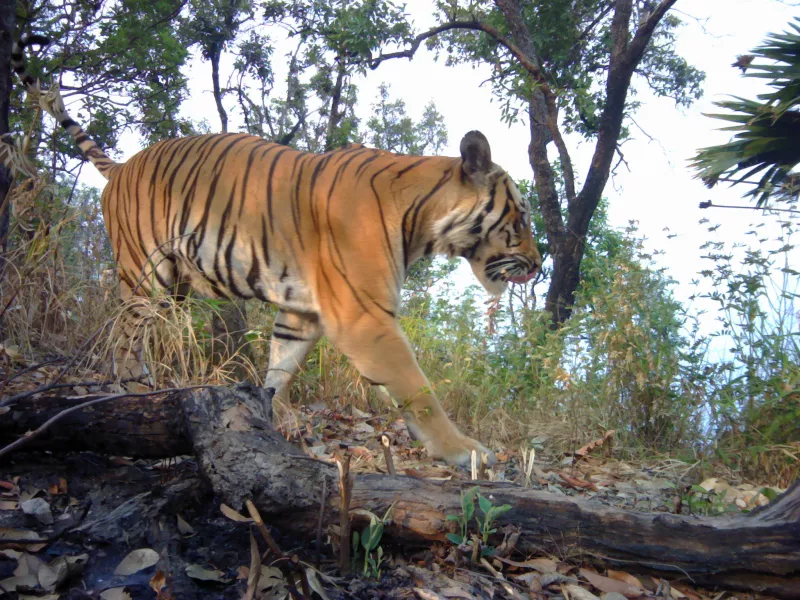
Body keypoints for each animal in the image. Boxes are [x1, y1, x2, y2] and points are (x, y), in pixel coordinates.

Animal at [9, 36, 540, 468]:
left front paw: (269, 416)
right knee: (124, 338)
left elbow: (281, 366)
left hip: (174, 287)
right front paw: (465, 451)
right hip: (144, 275)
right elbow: (418, 389)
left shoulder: (302, 312)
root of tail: (121, 166)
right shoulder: (365, 317)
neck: (420, 216)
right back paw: (131, 391)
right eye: (522, 217)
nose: (538, 266)